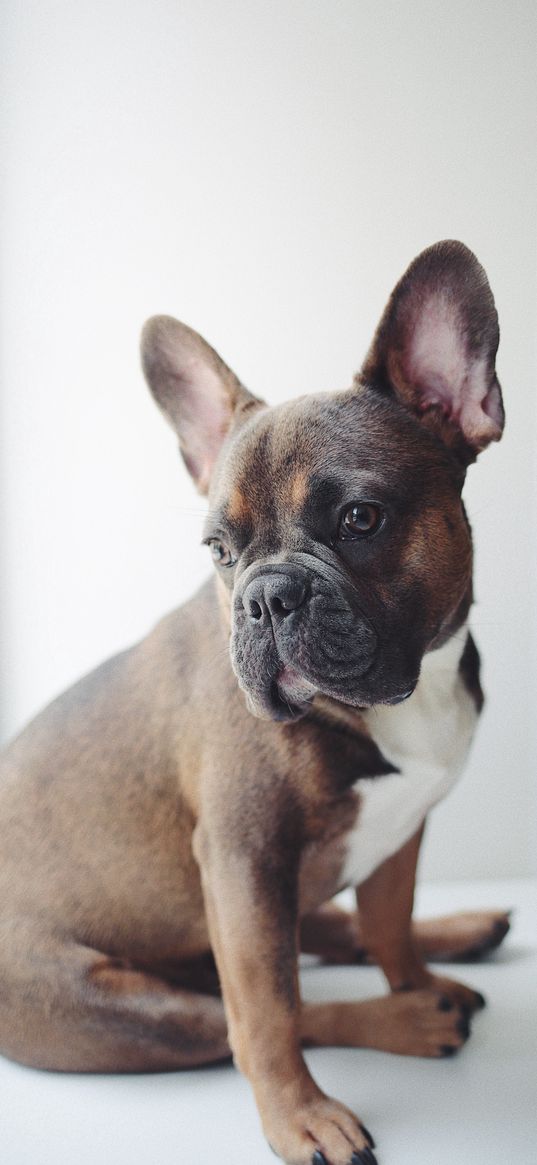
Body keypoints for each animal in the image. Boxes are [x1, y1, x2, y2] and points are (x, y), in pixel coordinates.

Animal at [0, 241, 510, 1160]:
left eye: (359, 517)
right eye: (218, 550)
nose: (266, 596)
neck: (399, 692)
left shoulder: (399, 833)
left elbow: (388, 921)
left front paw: (417, 968)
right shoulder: (244, 857)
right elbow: (270, 1011)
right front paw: (301, 1116)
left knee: (323, 936)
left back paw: (455, 944)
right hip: (120, 1007)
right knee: (251, 1014)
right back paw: (408, 1020)